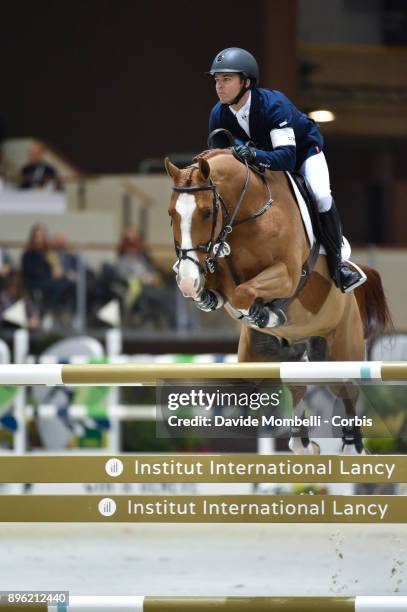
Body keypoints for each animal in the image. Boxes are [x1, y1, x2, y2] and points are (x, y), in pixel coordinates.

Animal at [166, 148, 392, 454]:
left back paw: (351, 446)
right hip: (263, 360)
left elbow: (243, 293)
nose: (188, 280)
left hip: (340, 351)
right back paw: (303, 442)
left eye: (207, 212)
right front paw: (208, 296)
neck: (246, 216)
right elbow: (221, 292)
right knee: (296, 386)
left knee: (347, 391)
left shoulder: (287, 275)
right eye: (171, 214)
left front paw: (265, 314)